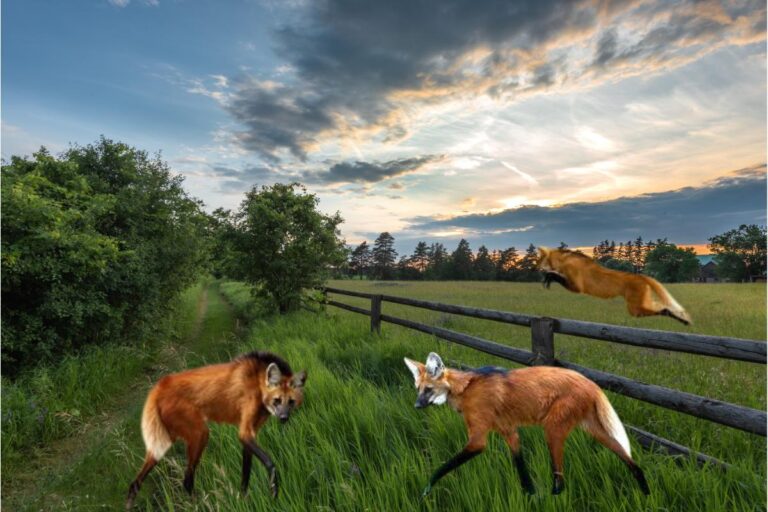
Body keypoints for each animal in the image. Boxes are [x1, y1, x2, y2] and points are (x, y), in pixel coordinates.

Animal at [126, 352, 306, 508]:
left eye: (290, 402)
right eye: (277, 400)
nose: (283, 418)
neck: (258, 382)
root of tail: (158, 387)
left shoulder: (250, 435)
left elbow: (245, 474)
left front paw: (243, 500)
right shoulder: (245, 433)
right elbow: (270, 463)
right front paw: (274, 491)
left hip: (163, 442)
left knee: (136, 483)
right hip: (200, 435)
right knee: (187, 480)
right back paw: (201, 505)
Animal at [404, 352, 652, 496]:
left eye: (428, 390)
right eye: (418, 389)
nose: (416, 406)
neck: (463, 390)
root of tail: (590, 382)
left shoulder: (478, 440)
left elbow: (442, 468)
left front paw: (426, 490)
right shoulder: (509, 432)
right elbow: (521, 467)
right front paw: (530, 495)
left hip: (552, 430)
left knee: (560, 480)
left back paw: (556, 496)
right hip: (593, 429)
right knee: (629, 459)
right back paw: (645, 491)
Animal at [536, 247, 692, 326]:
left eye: (540, 259)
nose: (537, 267)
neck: (564, 261)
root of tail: (641, 276)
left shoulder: (576, 286)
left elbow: (557, 276)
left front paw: (548, 277)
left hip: (634, 307)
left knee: (663, 309)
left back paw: (682, 320)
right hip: (640, 302)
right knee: (659, 306)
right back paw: (683, 319)